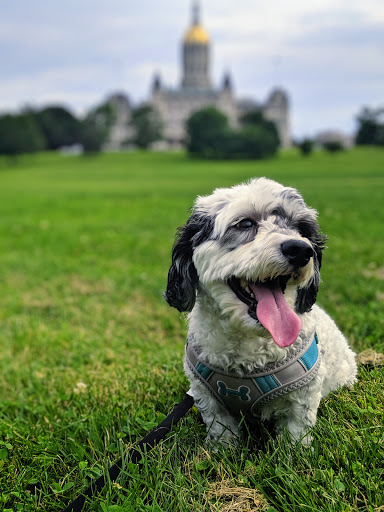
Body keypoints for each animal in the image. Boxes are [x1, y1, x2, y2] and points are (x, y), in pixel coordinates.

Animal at [164, 178, 356, 446]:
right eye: (245, 223)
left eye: (302, 229)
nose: (301, 249)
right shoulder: (208, 397)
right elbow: (220, 429)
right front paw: (222, 451)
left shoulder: (303, 397)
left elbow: (296, 433)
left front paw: (294, 454)